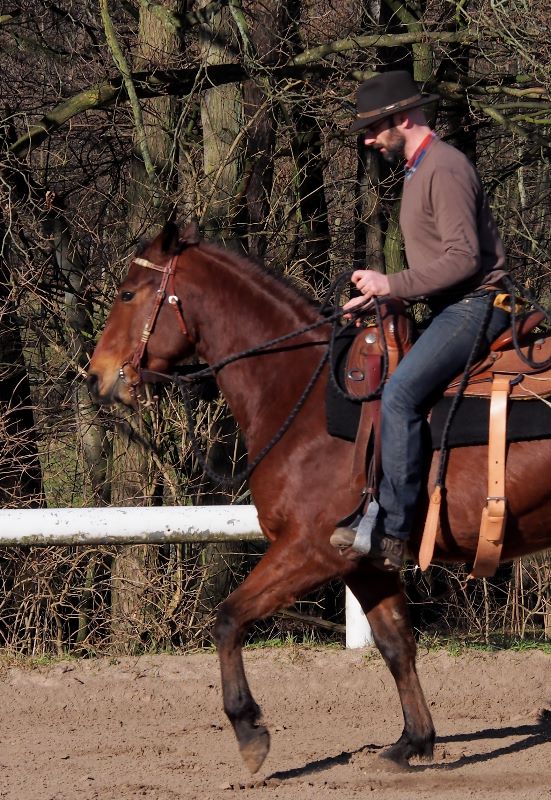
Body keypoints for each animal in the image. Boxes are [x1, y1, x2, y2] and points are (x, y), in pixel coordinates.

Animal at [86, 222, 551, 772]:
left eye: (127, 294)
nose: (95, 375)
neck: (300, 398)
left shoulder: (310, 549)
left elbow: (229, 617)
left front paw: (249, 730)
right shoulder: (363, 562)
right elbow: (396, 644)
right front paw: (412, 741)